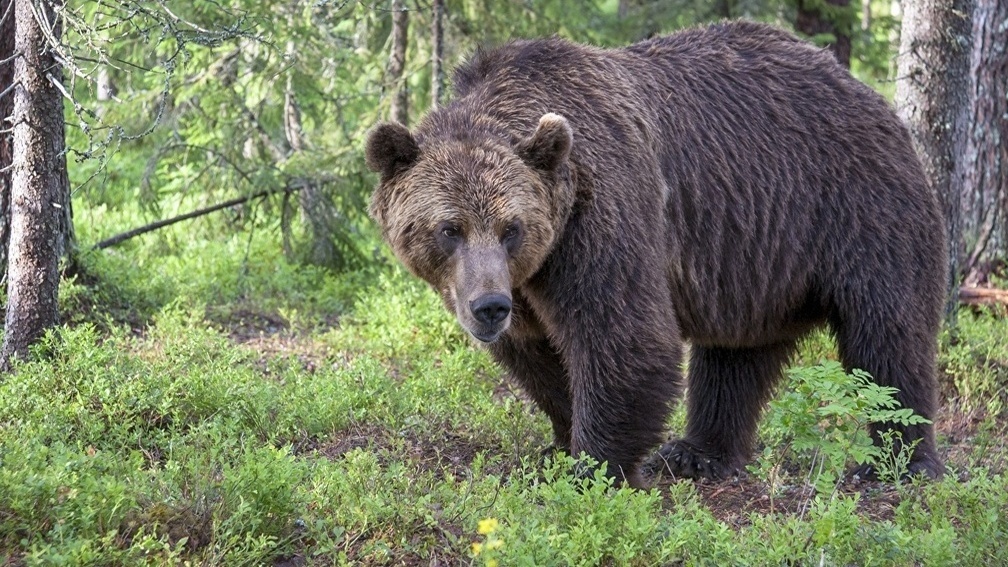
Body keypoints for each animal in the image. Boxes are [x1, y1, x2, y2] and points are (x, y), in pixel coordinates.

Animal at [368, 20, 943, 486]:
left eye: (512, 228)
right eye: (450, 229)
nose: (489, 307)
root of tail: (869, 93)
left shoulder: (602, 214)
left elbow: (624, 335)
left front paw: (592, 468)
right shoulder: (529, 280)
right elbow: (537, 353)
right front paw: (558, 444)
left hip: (859, 207)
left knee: (888, 335)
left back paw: (897, 463)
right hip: (755, 257)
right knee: (736, 356)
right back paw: (698, 453)